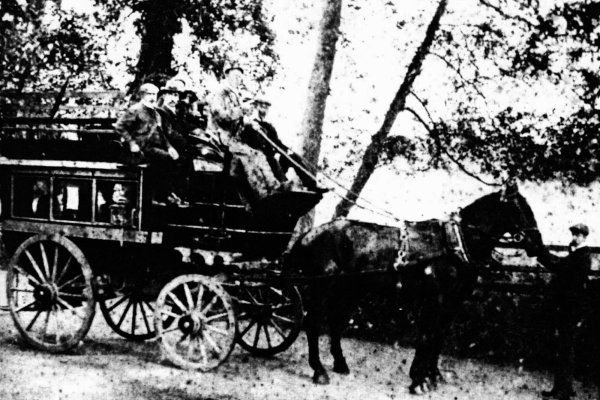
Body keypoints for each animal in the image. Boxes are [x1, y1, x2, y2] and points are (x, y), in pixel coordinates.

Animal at [284, 184, 548, 394]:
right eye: (519, 209)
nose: (537, 245)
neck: (454, 245)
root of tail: (309, 235)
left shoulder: (452, 302)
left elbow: (438, 337)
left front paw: (431, 375)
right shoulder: (436, 299)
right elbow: (427, 336)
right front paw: (420, 380)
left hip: (347, 291)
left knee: (335, 323)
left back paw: (340, 364)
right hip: (322, 288)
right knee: (313, 323)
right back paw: (319, 371)